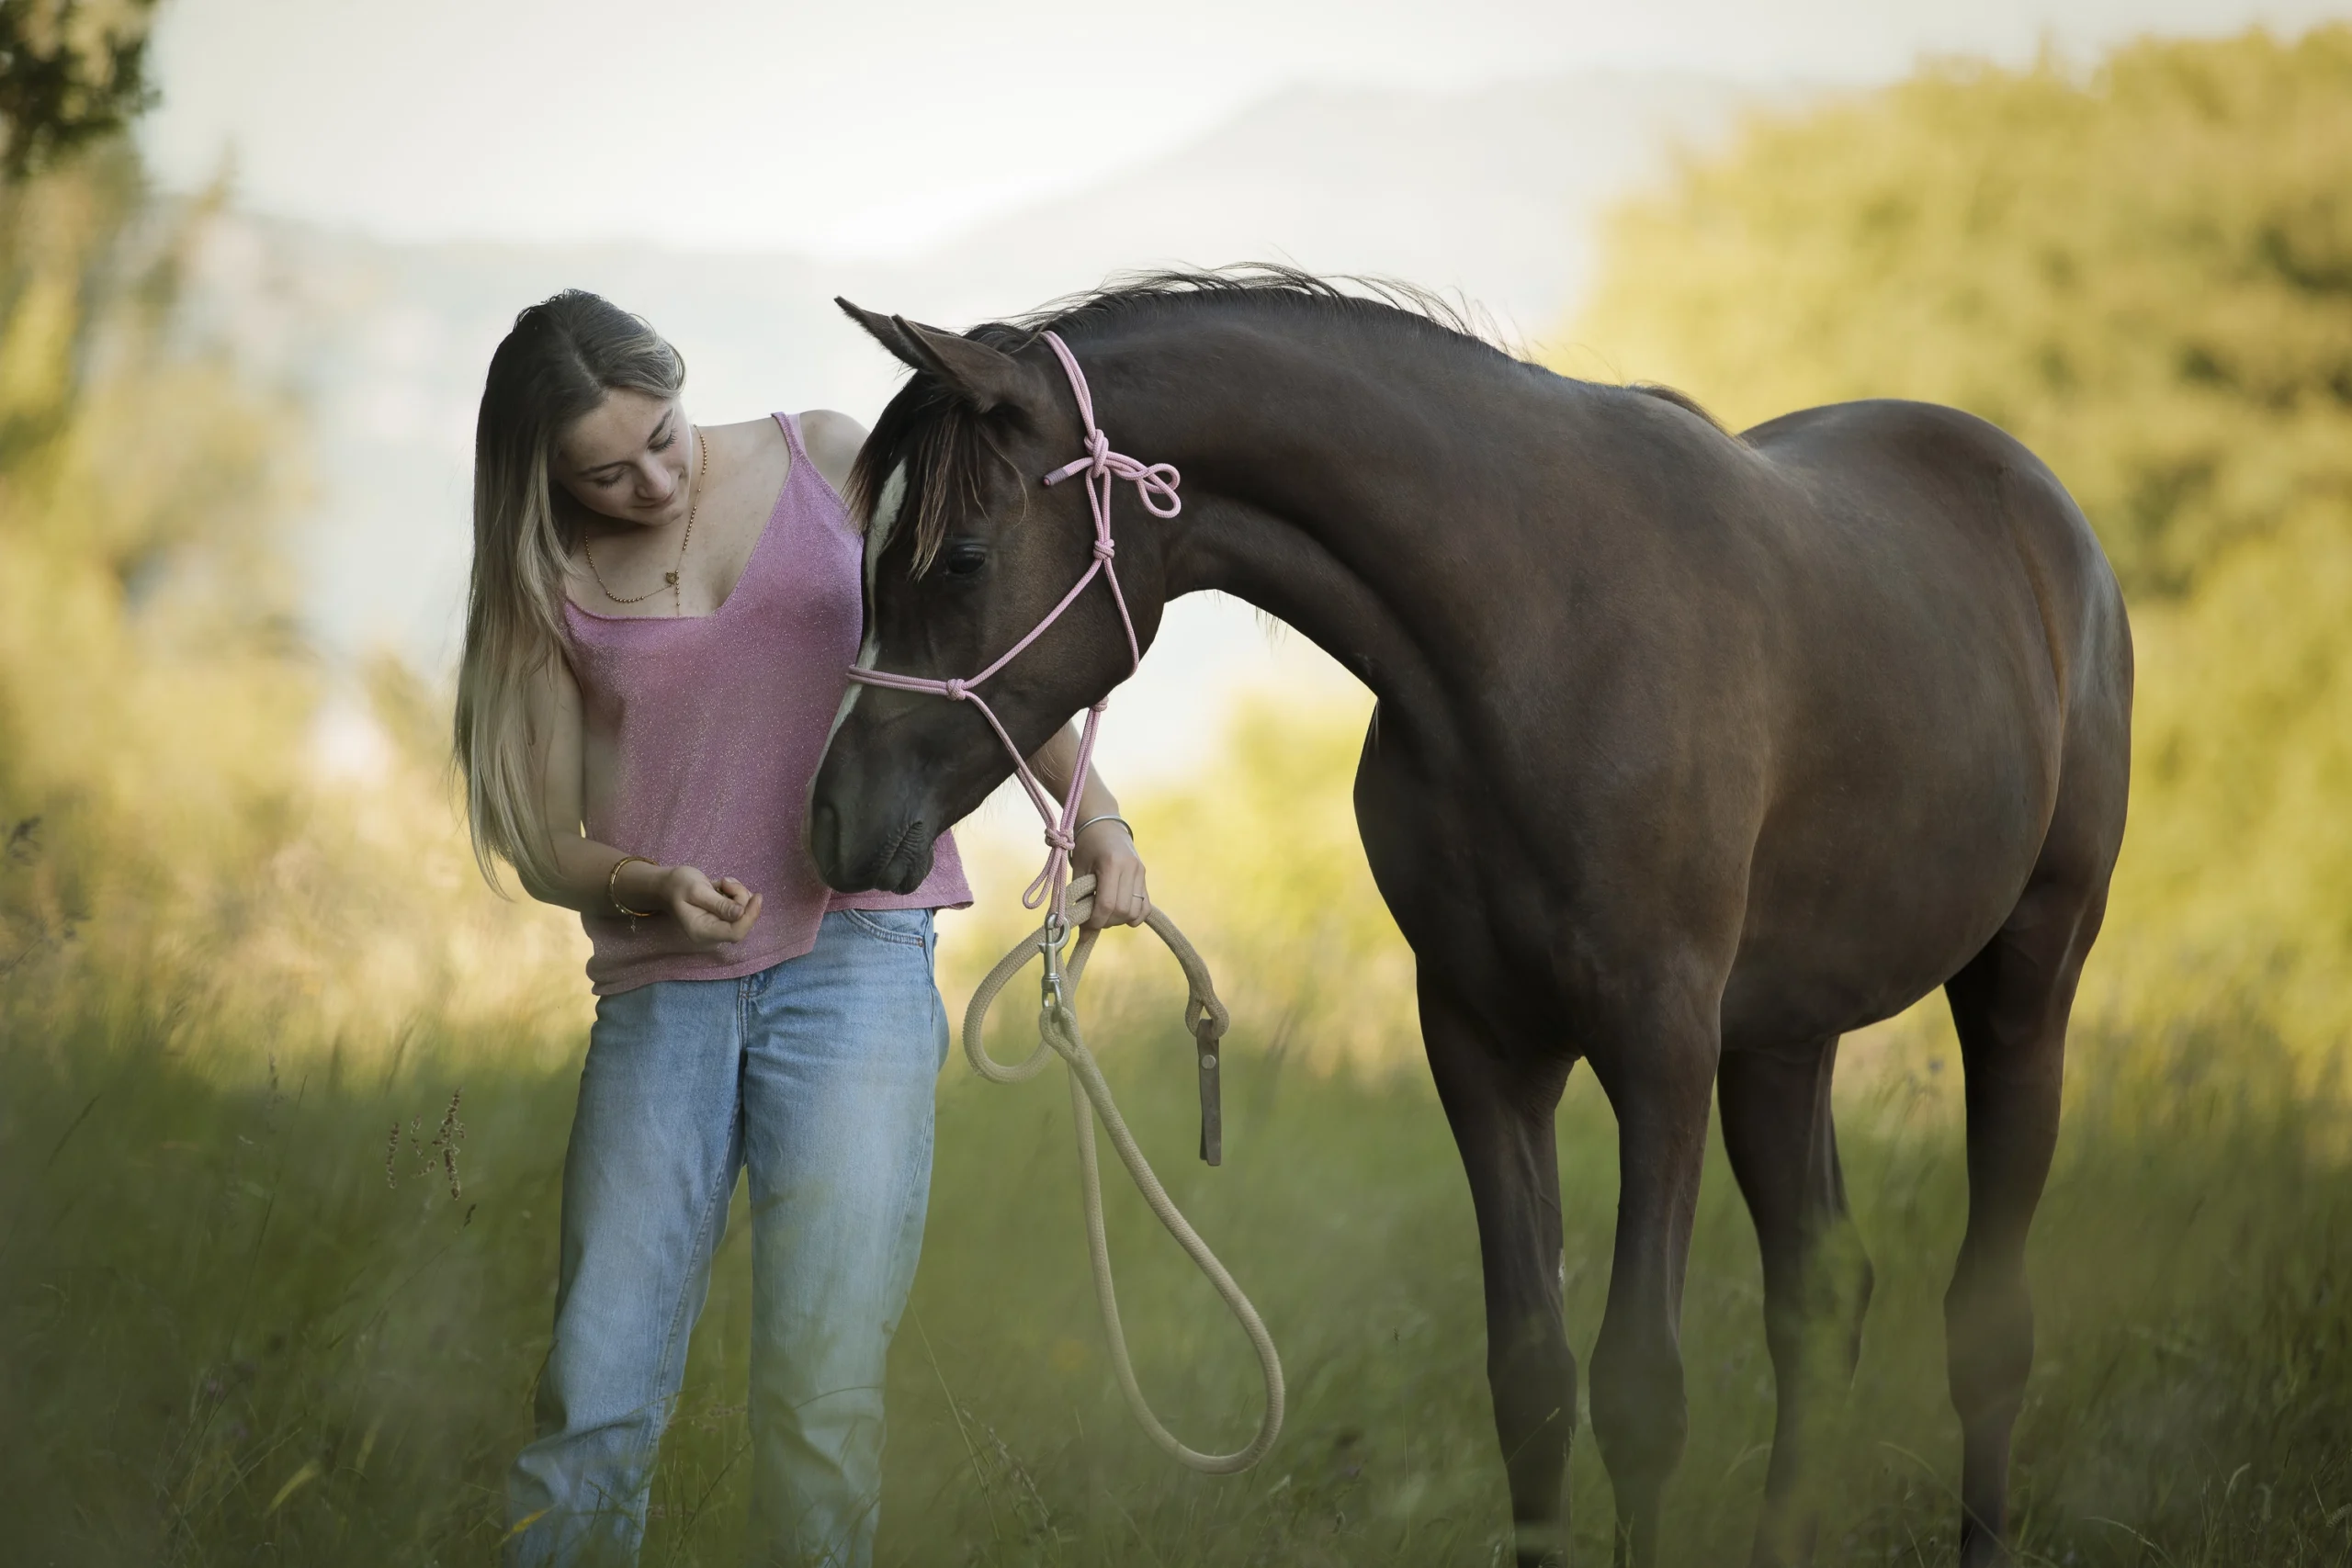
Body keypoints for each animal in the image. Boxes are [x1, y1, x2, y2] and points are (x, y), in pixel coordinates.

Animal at [809, 269, 2131, 1568]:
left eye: (959, 556)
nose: (831, 821)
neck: (1538, 631)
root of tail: (2046, 513)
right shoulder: (1481, 1042)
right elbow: (1532, 1383)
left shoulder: (1661, 1043)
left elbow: (1640, 1390)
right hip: (1784, 1039)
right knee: (1820, 1294)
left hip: (2023, 982)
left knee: (1987, 1319)